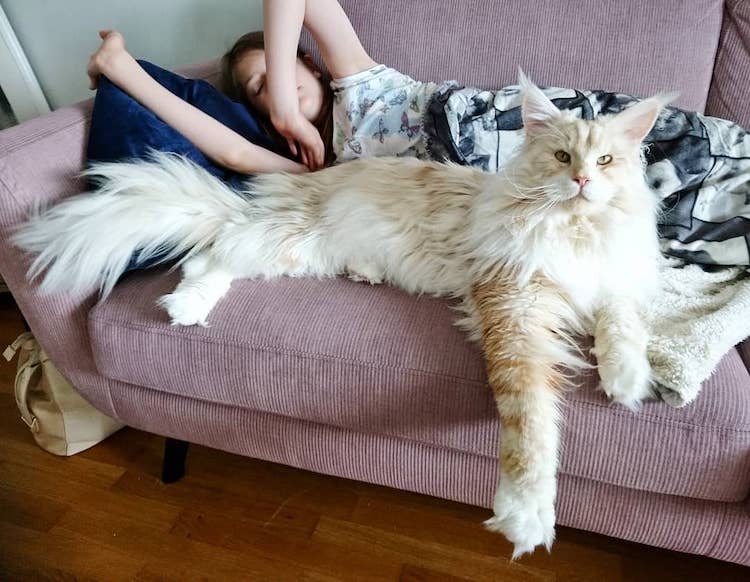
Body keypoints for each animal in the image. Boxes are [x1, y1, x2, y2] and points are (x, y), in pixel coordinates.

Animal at [14, 75, 668, 560]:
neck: (576, 231)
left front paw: (628, 381)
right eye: (561, 157)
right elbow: (532, 421)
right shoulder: (516, 306)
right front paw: (527, 515)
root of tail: (281, 193)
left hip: (296, 254)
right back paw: (183, 307)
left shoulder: (616, 282)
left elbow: (622, 327)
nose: (581, 181)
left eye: (605, 160)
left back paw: (356, 274)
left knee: (219, 256)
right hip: (284, 240)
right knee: (211, 255)